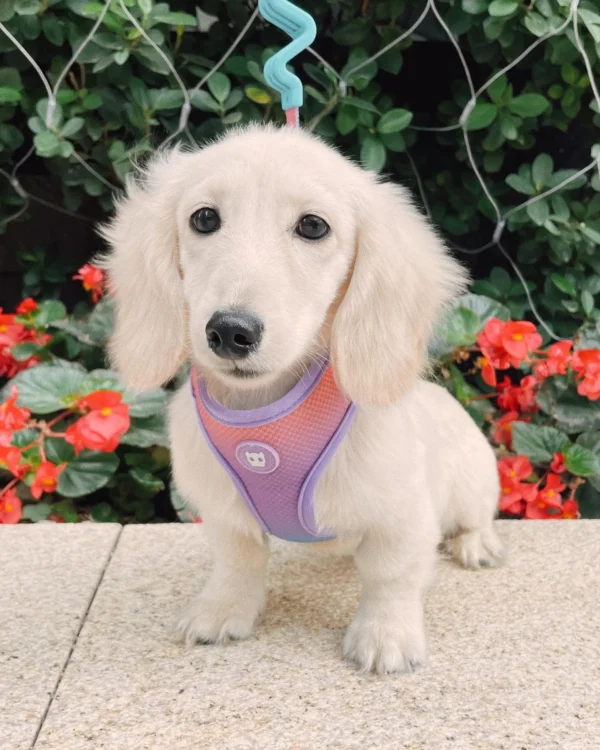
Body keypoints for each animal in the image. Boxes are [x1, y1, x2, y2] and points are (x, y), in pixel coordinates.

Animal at [103, 123, 502, 676]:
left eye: (313, 226)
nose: (231, 332)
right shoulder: (224, 510)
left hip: (472, 481)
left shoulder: (403, 511)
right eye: (204, 218)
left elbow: (391, 575)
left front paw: (385, 636)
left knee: (473, 516)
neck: (264, 410)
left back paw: (476, 542)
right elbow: (237, 561)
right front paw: (221, 611)